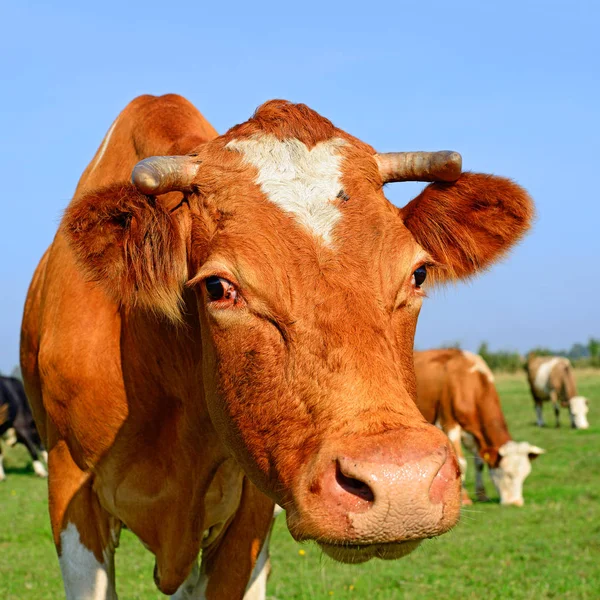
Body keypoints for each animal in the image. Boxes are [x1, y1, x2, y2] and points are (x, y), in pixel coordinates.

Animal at [414, 350, 548, 508]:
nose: (516, 503)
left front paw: (482, 495)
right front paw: (465, 499)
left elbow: (479, 463)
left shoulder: (476, 434)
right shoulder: (449, 424)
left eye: (525, 475)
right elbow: (461, 463)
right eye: (508, 474)